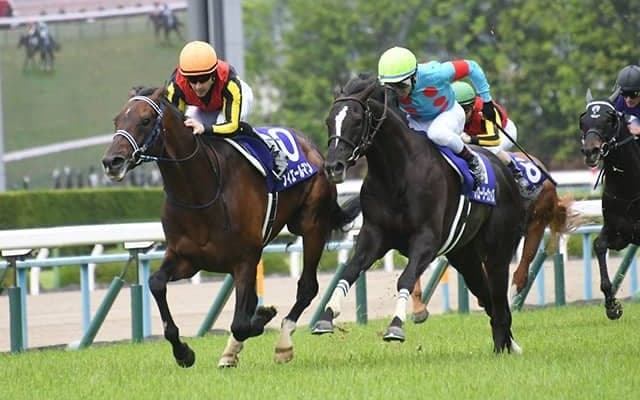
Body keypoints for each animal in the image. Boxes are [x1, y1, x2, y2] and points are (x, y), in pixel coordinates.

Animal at [101, 87, 361, 367]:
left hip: (311, 226)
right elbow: (156, 283)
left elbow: (240, 323)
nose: (112, 161)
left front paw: (262, 318)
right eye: (116, 120)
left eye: (146, 120)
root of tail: (312, 146)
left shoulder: (246, 258)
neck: (200, 192)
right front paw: (183, 352)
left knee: (307, 287)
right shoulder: (186, 257)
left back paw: (282, 344)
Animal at [313, 74, 527, 353]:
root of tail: (505, 172)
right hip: (464, 254)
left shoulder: (426, 240)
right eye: (329, 121)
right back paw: (505, 345)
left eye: (357, 120)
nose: (333, 167)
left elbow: (405, 278)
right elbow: (349, 271)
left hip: (497, 251)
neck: (396, 174)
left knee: (499, 299)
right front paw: (326, 317)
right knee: (488, 299)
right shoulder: (374, 236)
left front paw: (395, 326)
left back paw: (505, 347)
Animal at [579, 97, 640, 319]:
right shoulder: (620, 232)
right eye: (584, 121)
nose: (591, 151)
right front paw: (612, 306)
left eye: (608, 120)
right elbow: (598, 245)